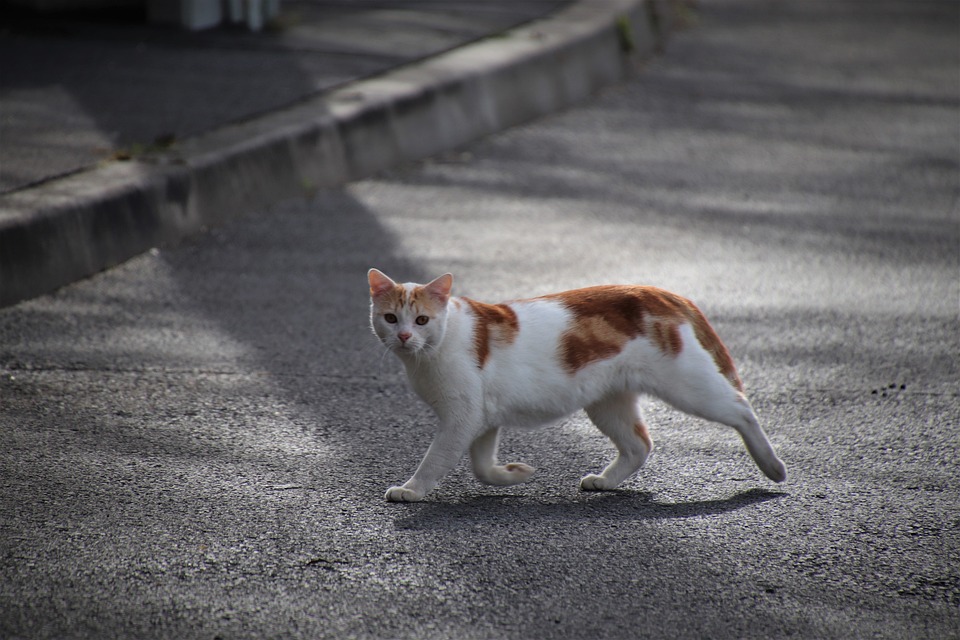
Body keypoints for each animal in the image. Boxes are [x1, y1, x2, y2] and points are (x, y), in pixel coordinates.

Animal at [370, 268, 788, 502]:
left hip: (690, 386)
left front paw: (411, 489)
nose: (404, 336)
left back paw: (772, 466)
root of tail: (660, 291)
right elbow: (482, 467)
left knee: (742, 408)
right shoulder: (481, 418)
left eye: (422, 320)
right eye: (390, 318)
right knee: (639, 445)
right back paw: (604, 481)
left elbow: (435, 459)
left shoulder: (462, 417)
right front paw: (514, 475)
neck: (432, 350)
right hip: (608, 402)